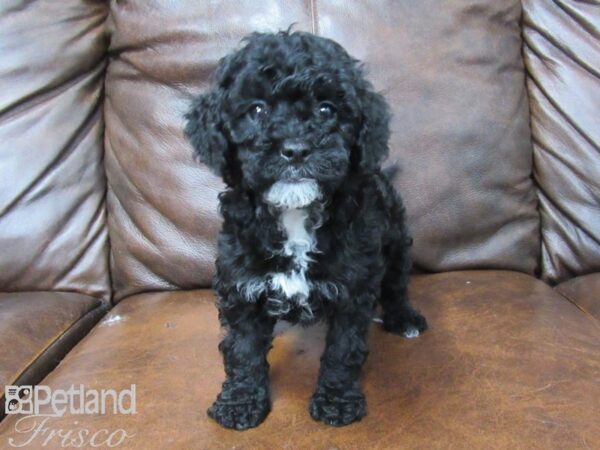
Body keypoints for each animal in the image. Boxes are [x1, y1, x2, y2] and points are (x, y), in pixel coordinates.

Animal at [186, 29, 426, 430]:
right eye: (257, 110)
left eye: (327, 109)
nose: (296, 149)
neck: (295, 215)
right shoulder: (242, 287)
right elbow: (242, 350)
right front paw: (239, 404)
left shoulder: (353, 288)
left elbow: (343, 350)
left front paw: (337, 401)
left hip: (394, 240)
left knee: (395, 283)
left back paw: (404, 318)